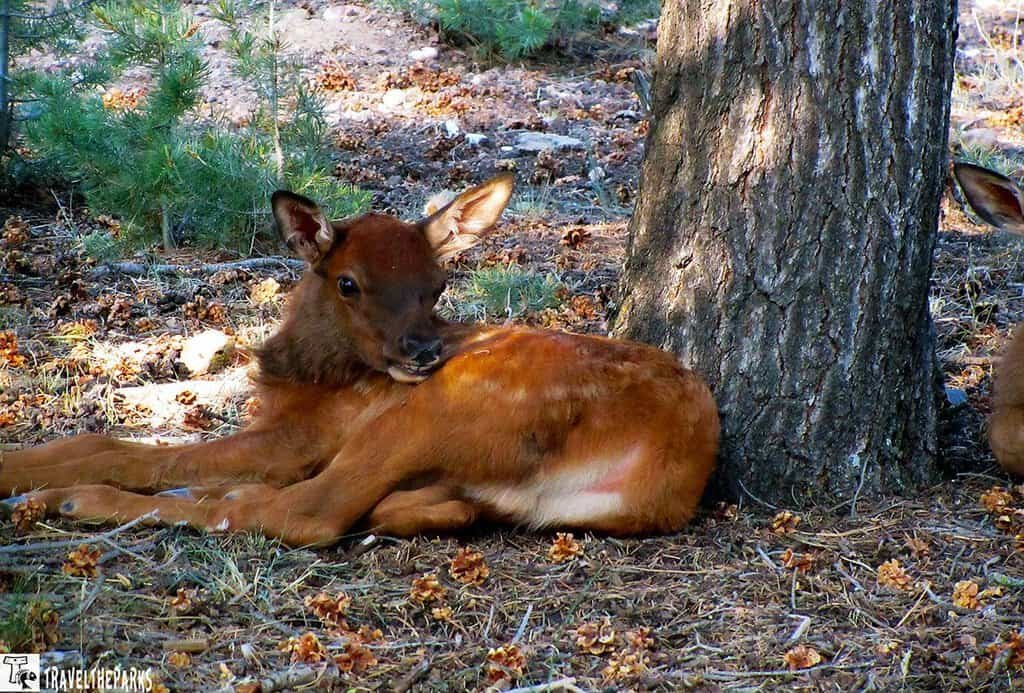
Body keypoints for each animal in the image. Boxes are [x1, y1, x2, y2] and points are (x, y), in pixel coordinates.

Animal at [0, 174, 720, 546]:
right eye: (348, 282)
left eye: (438, 284)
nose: (424, 350)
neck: (308, 374)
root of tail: (665, 470)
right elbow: (104, 439)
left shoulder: (298, 437)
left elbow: (127, 449)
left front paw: (33, 478)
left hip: (439, 408)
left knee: (308, 513)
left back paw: (70, 501)